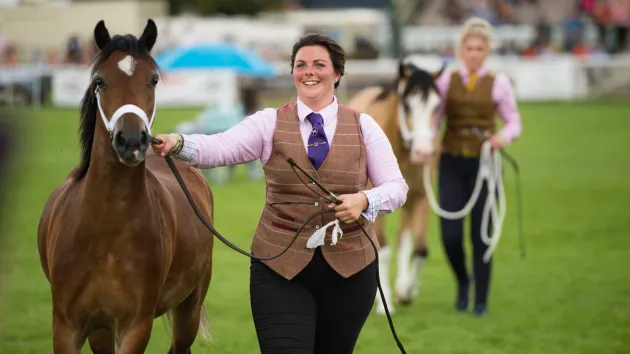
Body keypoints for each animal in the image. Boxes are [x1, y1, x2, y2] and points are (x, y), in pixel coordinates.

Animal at [37, 20, 215, 354]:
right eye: (99, 81)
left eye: (153, 79)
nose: (131, 141)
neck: (106, 231)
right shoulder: (67, 327)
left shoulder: (135, 326)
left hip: (189, 306)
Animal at [348, 61, 446, 316]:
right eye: (408, 105)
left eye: (436, 105)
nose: (424, 152)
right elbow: (382, 249)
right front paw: (386, 305)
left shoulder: (422, 196)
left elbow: (419, 248)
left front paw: (406, 292)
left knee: (404, 238)